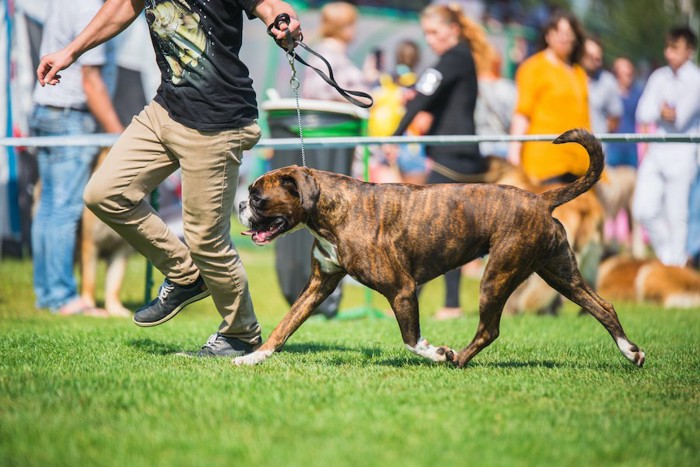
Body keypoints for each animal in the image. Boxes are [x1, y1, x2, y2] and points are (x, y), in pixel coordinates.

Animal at [234, 129, 644, 370]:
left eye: (258, 198)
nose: (239, 204)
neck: (331, 208)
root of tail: (540, 200)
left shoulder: (401, 290)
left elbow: (411, 339)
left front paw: (436, 352)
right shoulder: (318, 285)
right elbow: (285, 325)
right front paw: (254, 356)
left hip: (497, 275)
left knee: (489, 329)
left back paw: (456, 359)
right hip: (560, 272)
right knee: (602, 307)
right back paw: (631, 352)